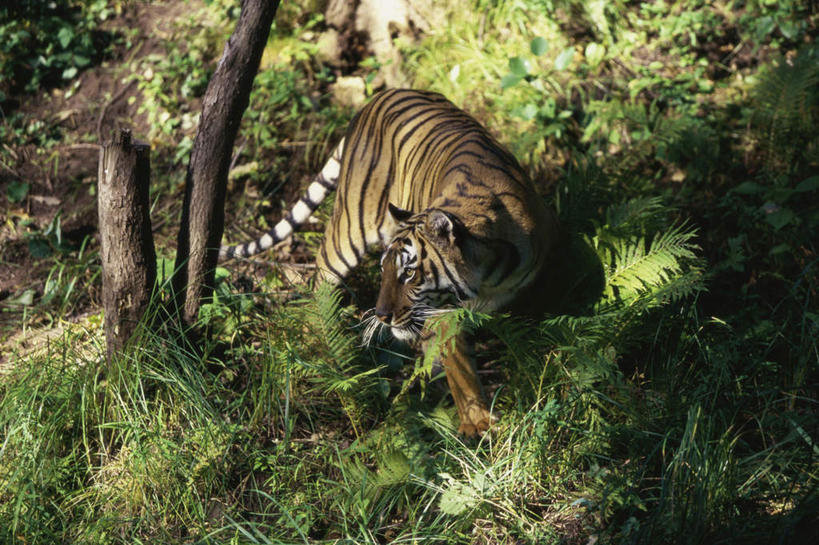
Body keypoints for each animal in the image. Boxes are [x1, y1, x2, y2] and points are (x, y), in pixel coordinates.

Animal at [221, 90, 560, 438]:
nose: (382, 316)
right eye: (384, 269)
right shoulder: (445, 315)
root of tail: (380, 96)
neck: (487, 277)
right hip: (348, 229)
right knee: (321, 278)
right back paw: (318, 336)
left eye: (409, 272)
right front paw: (476, 422)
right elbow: (461, 370)